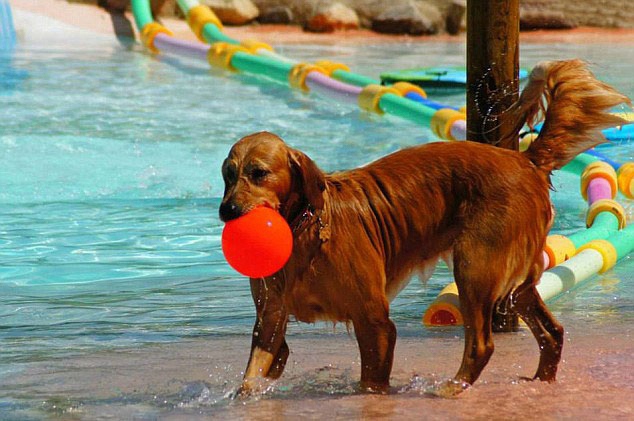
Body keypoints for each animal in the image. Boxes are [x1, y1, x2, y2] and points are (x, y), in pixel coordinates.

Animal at [217, 60, 628, 396]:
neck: (302, 232)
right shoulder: (270, 321)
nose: (227, 210)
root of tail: (524, 160)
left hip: (475, 266)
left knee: (482, 344)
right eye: (228, 175)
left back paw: (451, 388)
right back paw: (540, 382)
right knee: (552, 332)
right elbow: (253, 376)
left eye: (259, 173)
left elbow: (372, 382)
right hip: (517, 281)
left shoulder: (375, 321)